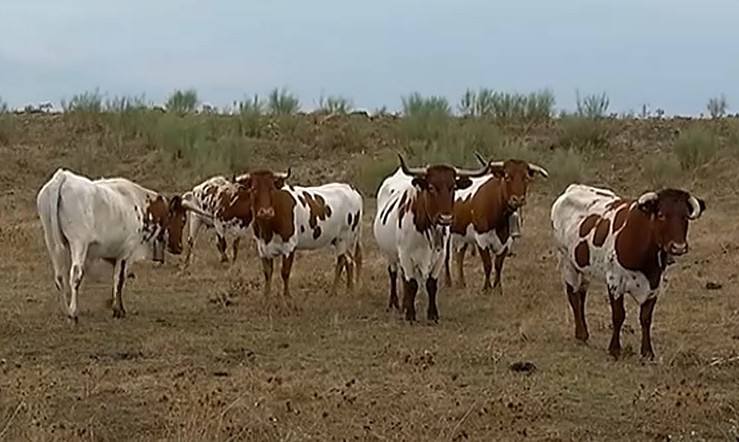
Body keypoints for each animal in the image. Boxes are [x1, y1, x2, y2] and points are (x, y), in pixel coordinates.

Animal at [36, 168, 212, 322]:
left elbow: (118, 279)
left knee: (59, 277)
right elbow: (120, 279)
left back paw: (64, 309)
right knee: (75, 274)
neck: (141, 206)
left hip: (51, 242)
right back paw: (73, 312)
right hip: (78, 243)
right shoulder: (127, 252)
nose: (179, 247)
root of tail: (64, 177)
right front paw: (118, 310)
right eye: (182, 220)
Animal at [232, 169, 363, 309]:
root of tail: (351, 189)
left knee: (341, 262)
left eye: (272, 189)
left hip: (344, 238)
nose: (266, 212)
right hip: (339, 239)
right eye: (253, 189)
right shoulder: (262, 247)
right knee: (349, 260)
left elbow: (285, 272)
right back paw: (349, 290)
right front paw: (266, 297)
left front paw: (287, 297)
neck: (268, 228)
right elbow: (267, 272)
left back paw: (333, 292)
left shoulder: (289, 246)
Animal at [372, 153, 492, 323]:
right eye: (431, 187)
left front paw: (432, 314)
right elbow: (411, 284)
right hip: (390, 254)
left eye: (453, 187)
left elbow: (431, 284)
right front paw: (411, 315)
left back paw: (404, 304)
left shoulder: (439, 256)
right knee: (394, 274)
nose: (445, 218)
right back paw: (394, 303)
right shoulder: (406, 255)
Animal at [444, 153, 549, 294]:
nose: (518, 199)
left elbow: (499, 265)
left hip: (462, 233)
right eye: (507, 176)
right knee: (446, 257)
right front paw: (486, 289)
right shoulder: (481, 239)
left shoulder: (507, 241)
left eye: (526, 177)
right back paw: (448, 282)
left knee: (460, 255)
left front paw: (498, 288)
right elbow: (487, 265)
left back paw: (461, 283)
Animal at [550, 183, 706, 360]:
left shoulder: (654, 285)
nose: (678, 247)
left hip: (582, 267)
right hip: (567, 262)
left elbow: (645, 318)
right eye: (660, 215)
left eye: (685, 217)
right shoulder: (614, 283)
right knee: (573, 296)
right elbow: (618, 316)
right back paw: (581, 334)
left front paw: (647, 352)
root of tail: (573, 188)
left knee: (581, 295)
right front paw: (615, 349)